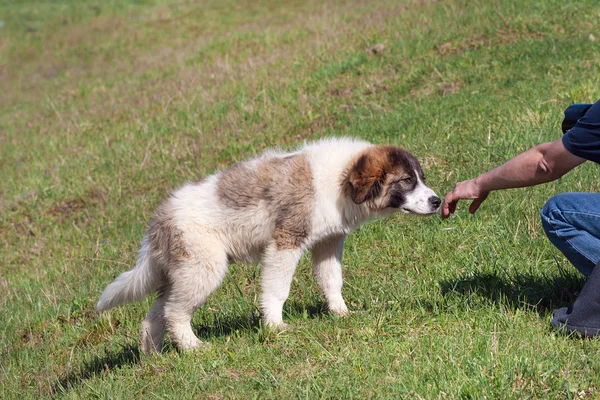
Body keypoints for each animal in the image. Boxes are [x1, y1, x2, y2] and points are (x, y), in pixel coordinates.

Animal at [97, 138, 440, 354]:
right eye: (406, 181)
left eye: (421, 178)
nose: (437, 201)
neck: (337, 182)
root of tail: (157, 221)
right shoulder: (285, 242)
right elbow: (277, 289)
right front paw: (275, 326)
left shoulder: (328, 242)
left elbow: (331, 280)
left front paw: (341, 313)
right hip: (203, 268)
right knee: (173, 313)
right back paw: (193, 347)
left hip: (181, 274)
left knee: (153, 316)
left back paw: (154, 357)